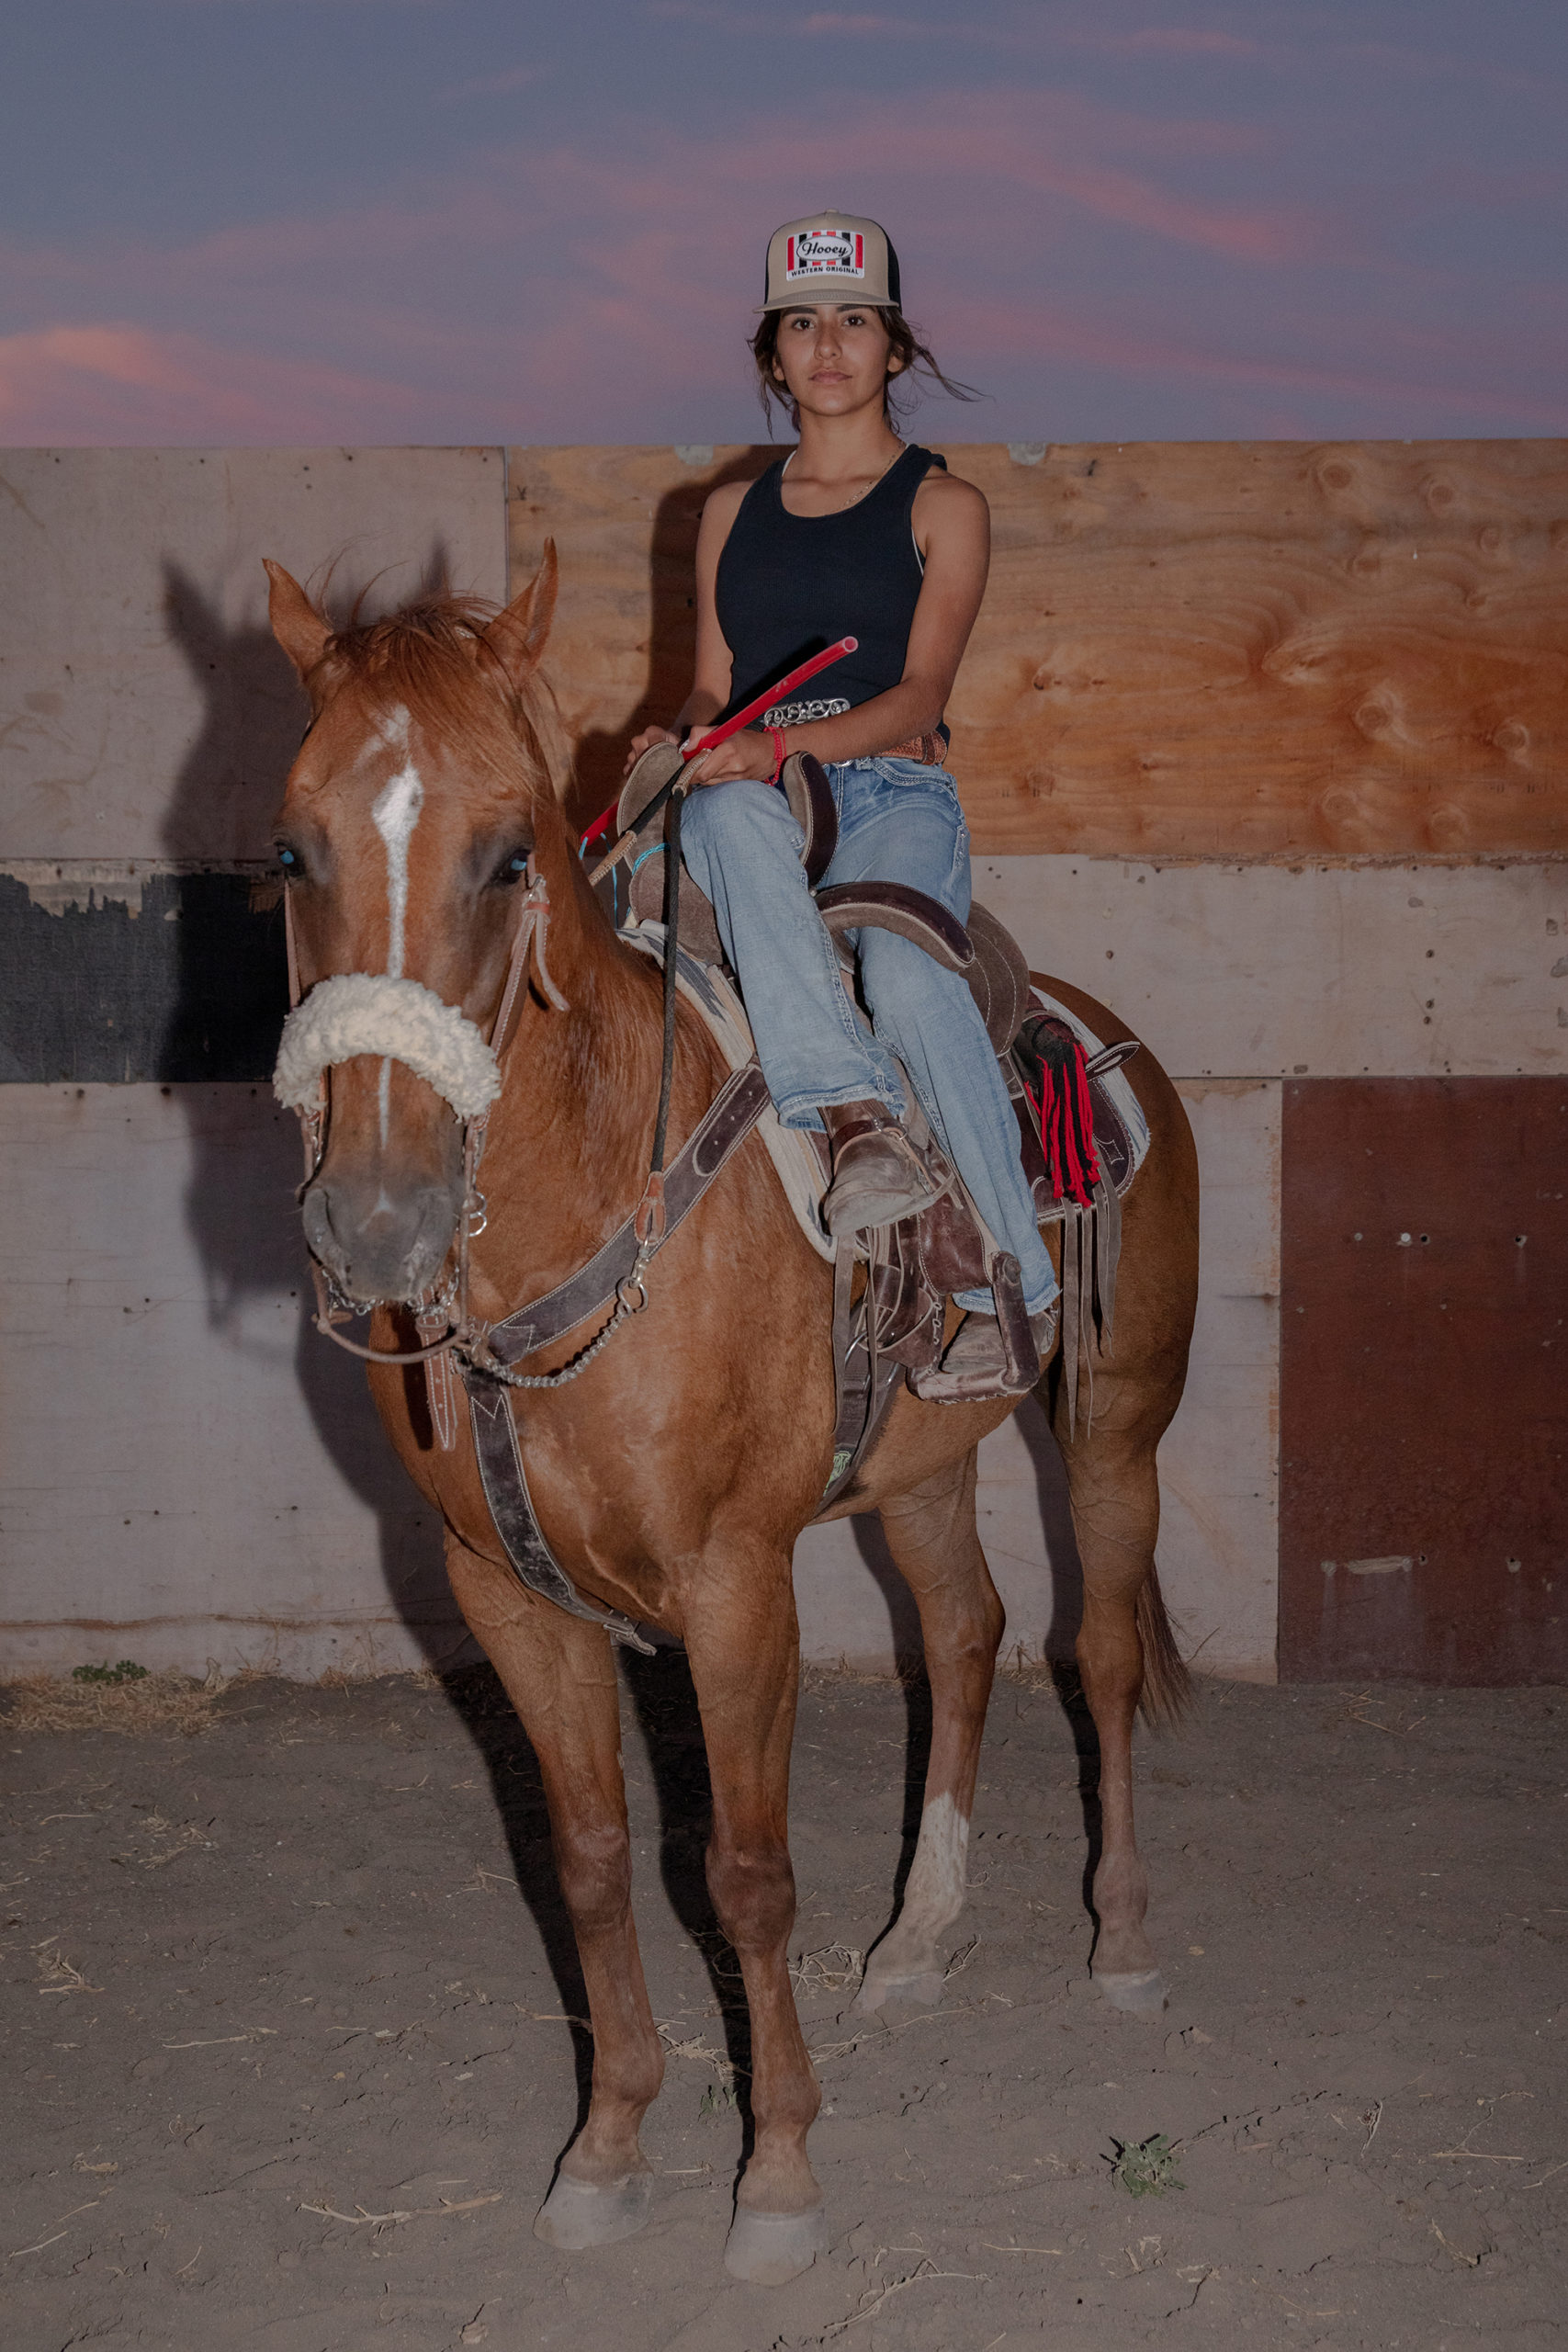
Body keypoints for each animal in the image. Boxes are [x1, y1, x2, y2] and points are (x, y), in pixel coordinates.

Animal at [266, 545, 1203, 2277]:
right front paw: (607, 2146)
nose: (374, 1223)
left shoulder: (732, 1589)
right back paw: (919, 1936)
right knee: (961, 1634)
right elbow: (585, 1864)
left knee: (1095, 1654)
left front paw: (775, 2175)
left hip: (1116, 1422)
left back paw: (1116, 1938)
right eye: (292, 849)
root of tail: (1109, 1044)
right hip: (919, 1463)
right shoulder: (501, 1597)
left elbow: (745, 1873)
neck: (583, 1207)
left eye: (510, 855)